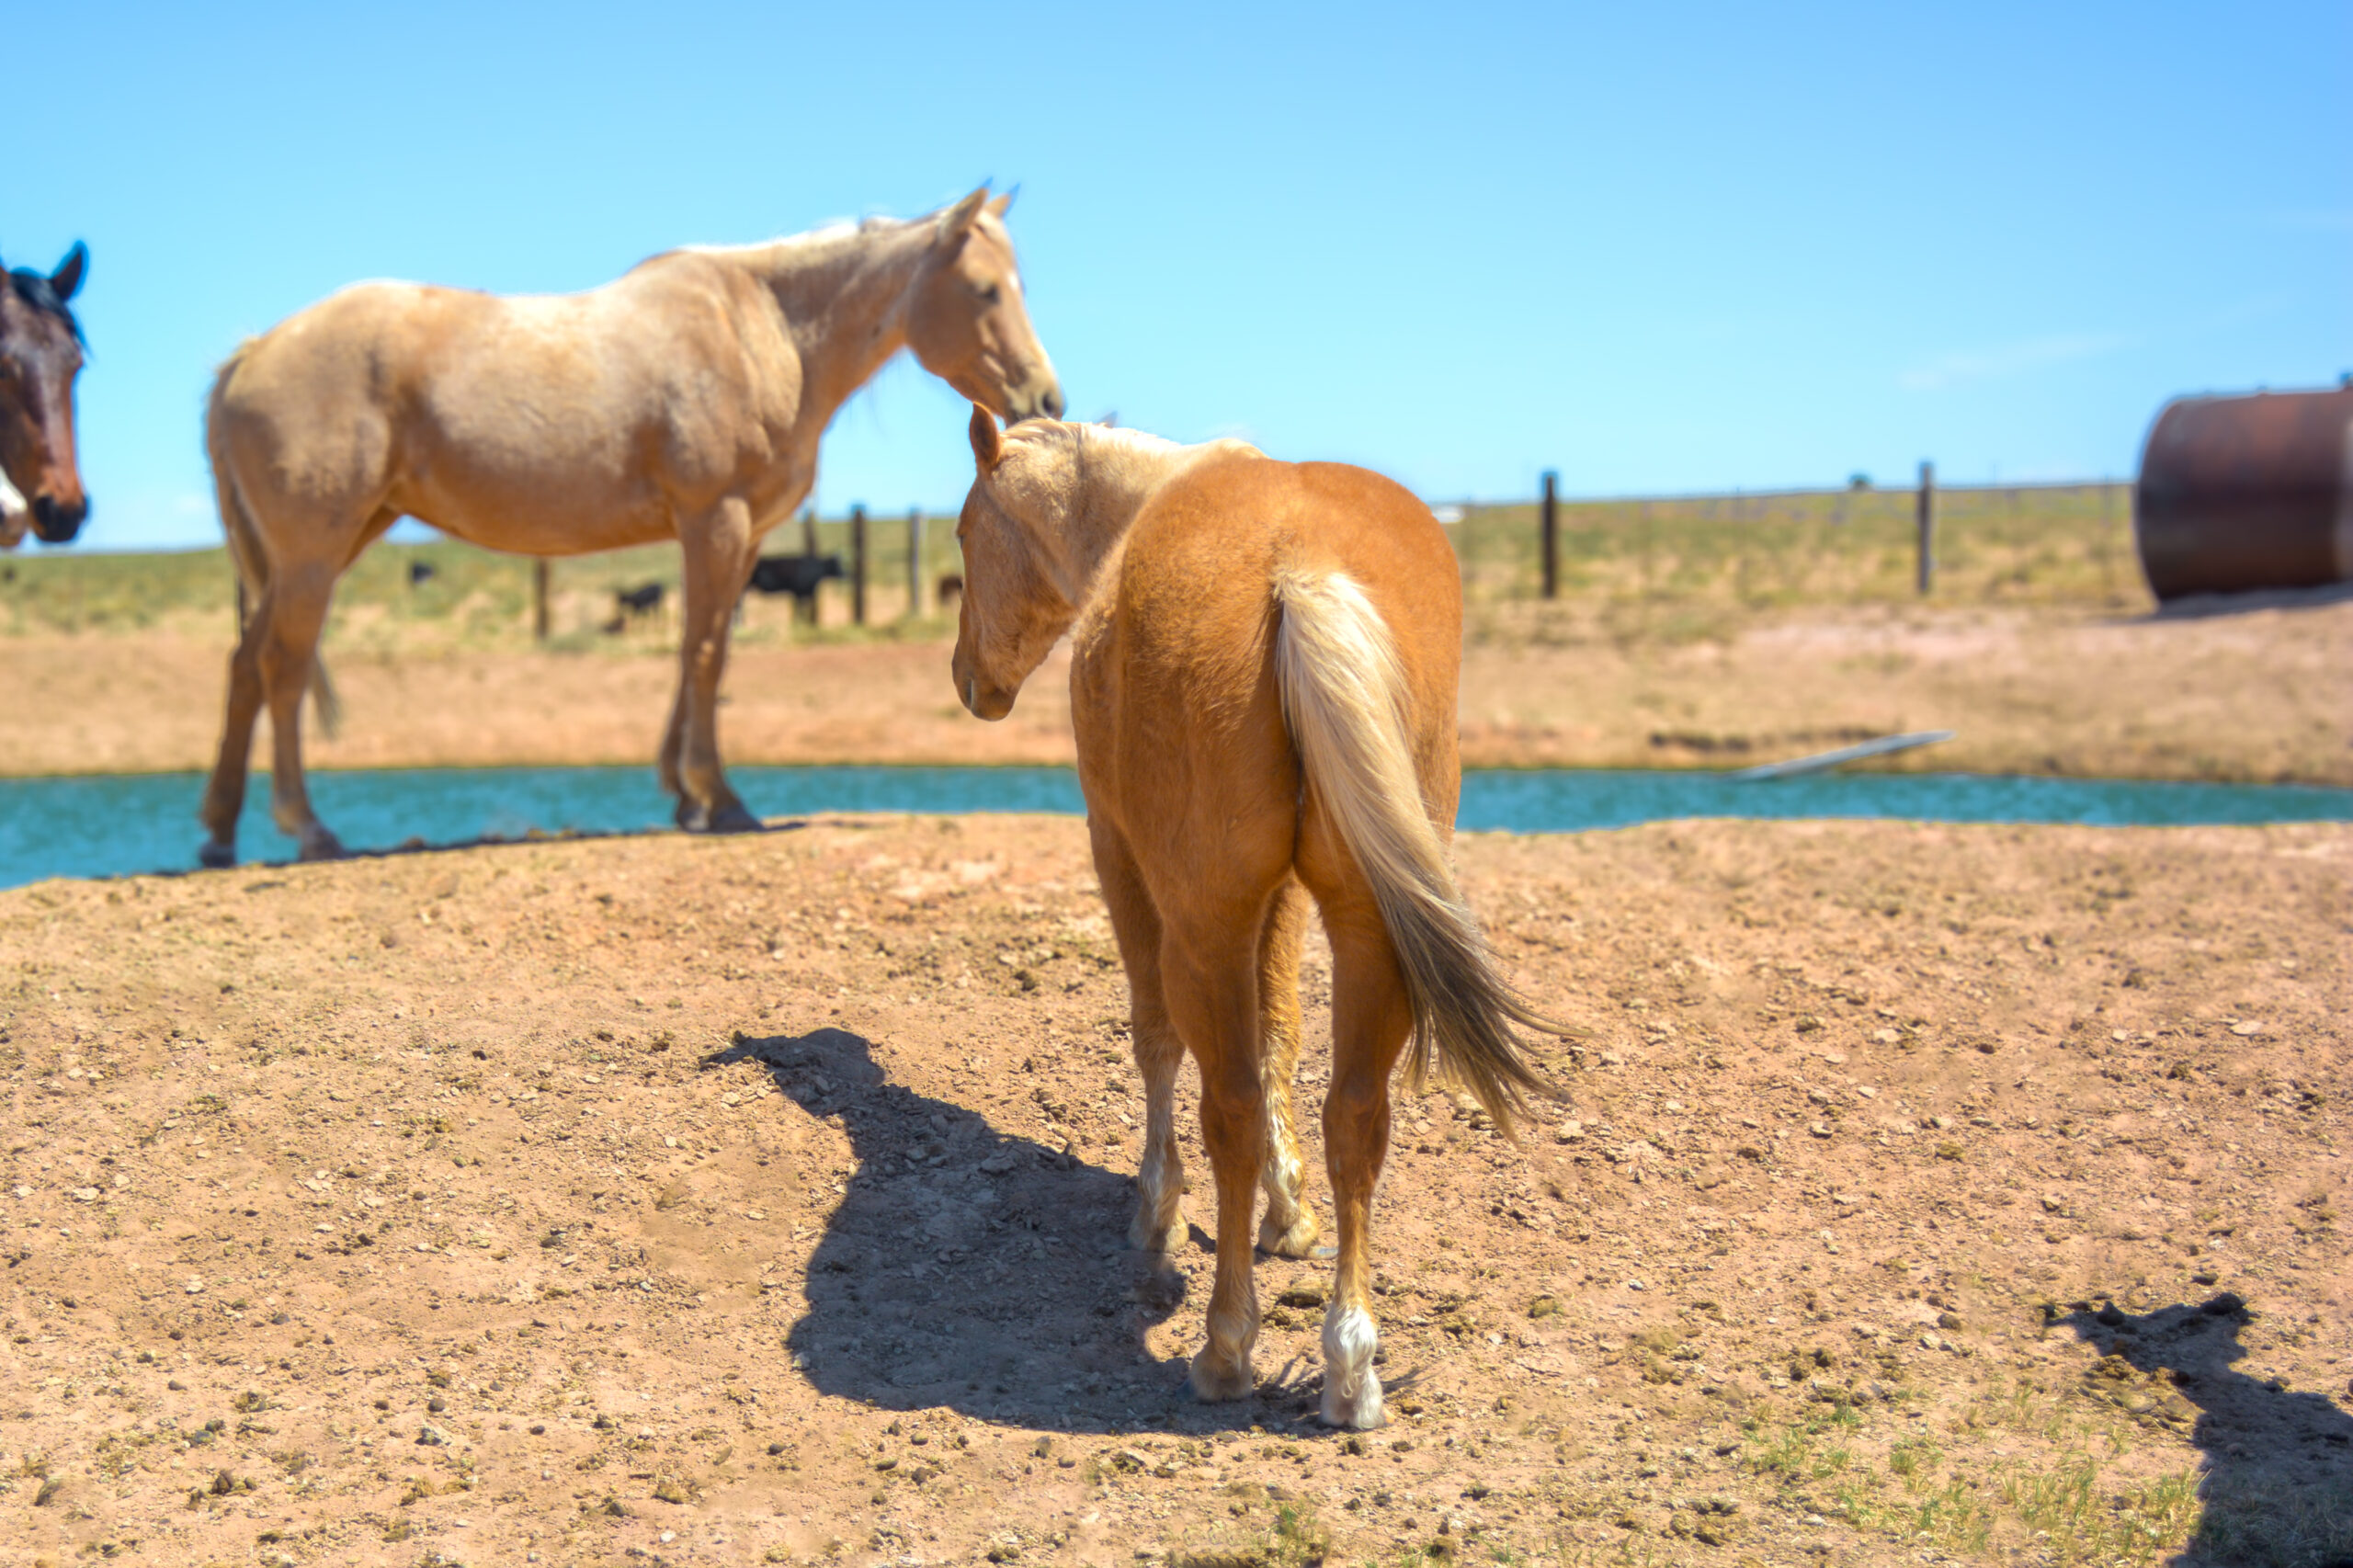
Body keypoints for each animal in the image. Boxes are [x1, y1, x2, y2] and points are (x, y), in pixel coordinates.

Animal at [198, 187, 1060, 867]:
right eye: (984, 289)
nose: (1045, 398)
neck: (767, 332)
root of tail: (253, 353)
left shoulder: (735, 536)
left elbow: (696, 652)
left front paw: (683, 796)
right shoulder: (715, 520)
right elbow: (706, 654)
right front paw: (721, 799)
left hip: (323, 548)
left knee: (244, 664)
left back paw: (219, 835)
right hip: (314, 553)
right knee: (282, 665)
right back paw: (308, 829)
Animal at [949, 408, 1563, 1427]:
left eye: (962, 535)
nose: (968, 678)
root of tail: (1298, 575)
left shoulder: (1120, 853)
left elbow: (1159, 1041)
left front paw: (1155, 1216)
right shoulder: (1281, 901)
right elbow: (1281, 1037)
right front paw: (1291, 1215)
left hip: (1204, 920)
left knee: (1224, 1103)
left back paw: (1225, 1347)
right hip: (1366, 926)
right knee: (1355, 1115)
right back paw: (1350, 1367)